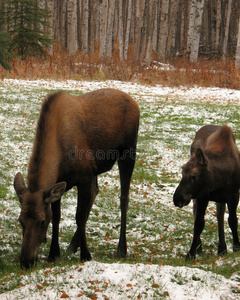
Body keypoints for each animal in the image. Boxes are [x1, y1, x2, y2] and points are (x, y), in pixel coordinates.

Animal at [14, 88, 140, 268]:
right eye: (20, 221)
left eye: (42, 221)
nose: (26, 260)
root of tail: (136, 104)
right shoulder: (61, 183)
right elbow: (57, 216)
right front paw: (54, 253)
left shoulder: (84, 176)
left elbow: (79, 216)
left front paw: (86, 255)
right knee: (96, 191)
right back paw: (74, 244)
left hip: (128, 152)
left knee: (124, 198)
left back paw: (121, 249)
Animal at [173, 125, 240, 258]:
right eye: (182, 173)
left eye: (194, 176)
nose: (177, 198)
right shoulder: (202, 196)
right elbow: (199, 224)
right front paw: (191, 253)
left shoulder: (234, 194)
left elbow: (233, 220)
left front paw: (236, 246)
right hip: (197, 196)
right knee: (196, 210)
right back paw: (202, 247)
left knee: (220, 213)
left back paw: (222, 248)